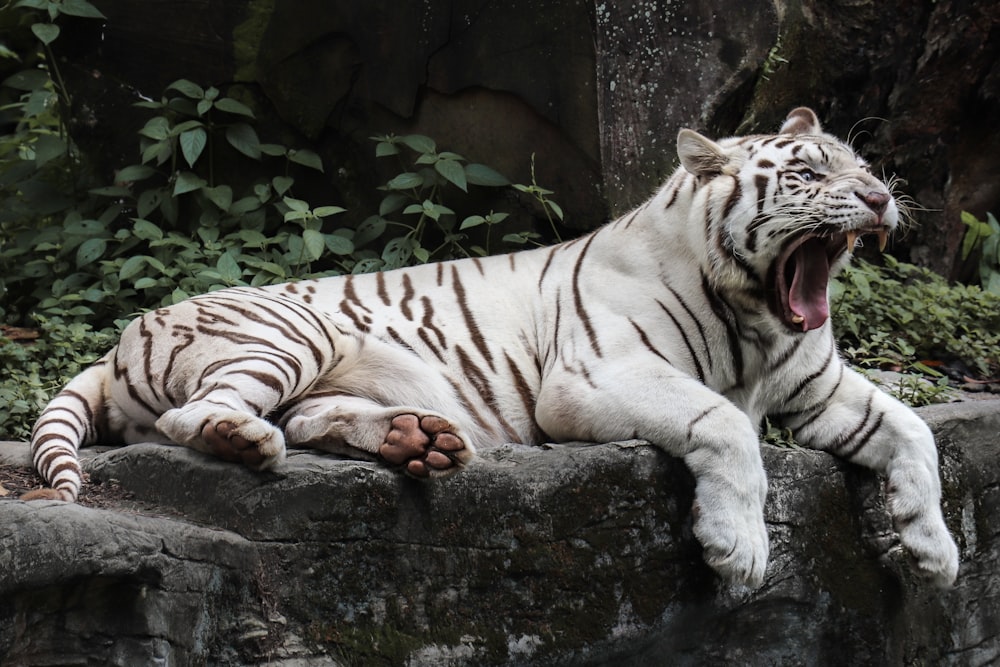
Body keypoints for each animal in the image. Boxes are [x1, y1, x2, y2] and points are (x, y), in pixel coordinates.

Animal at [23, 107, 960, 588]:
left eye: (858, 163)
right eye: (807, 173)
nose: (881, 197)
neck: (760, 317)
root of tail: (120, 339)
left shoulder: (820, 386)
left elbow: (915, 432)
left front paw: (935, 550)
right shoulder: (595, 376)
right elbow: (725, 426)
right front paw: (741, 548)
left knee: (316, 416)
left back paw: (420, 441)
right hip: (285, 334)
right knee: (198, 417)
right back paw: (249, 441)